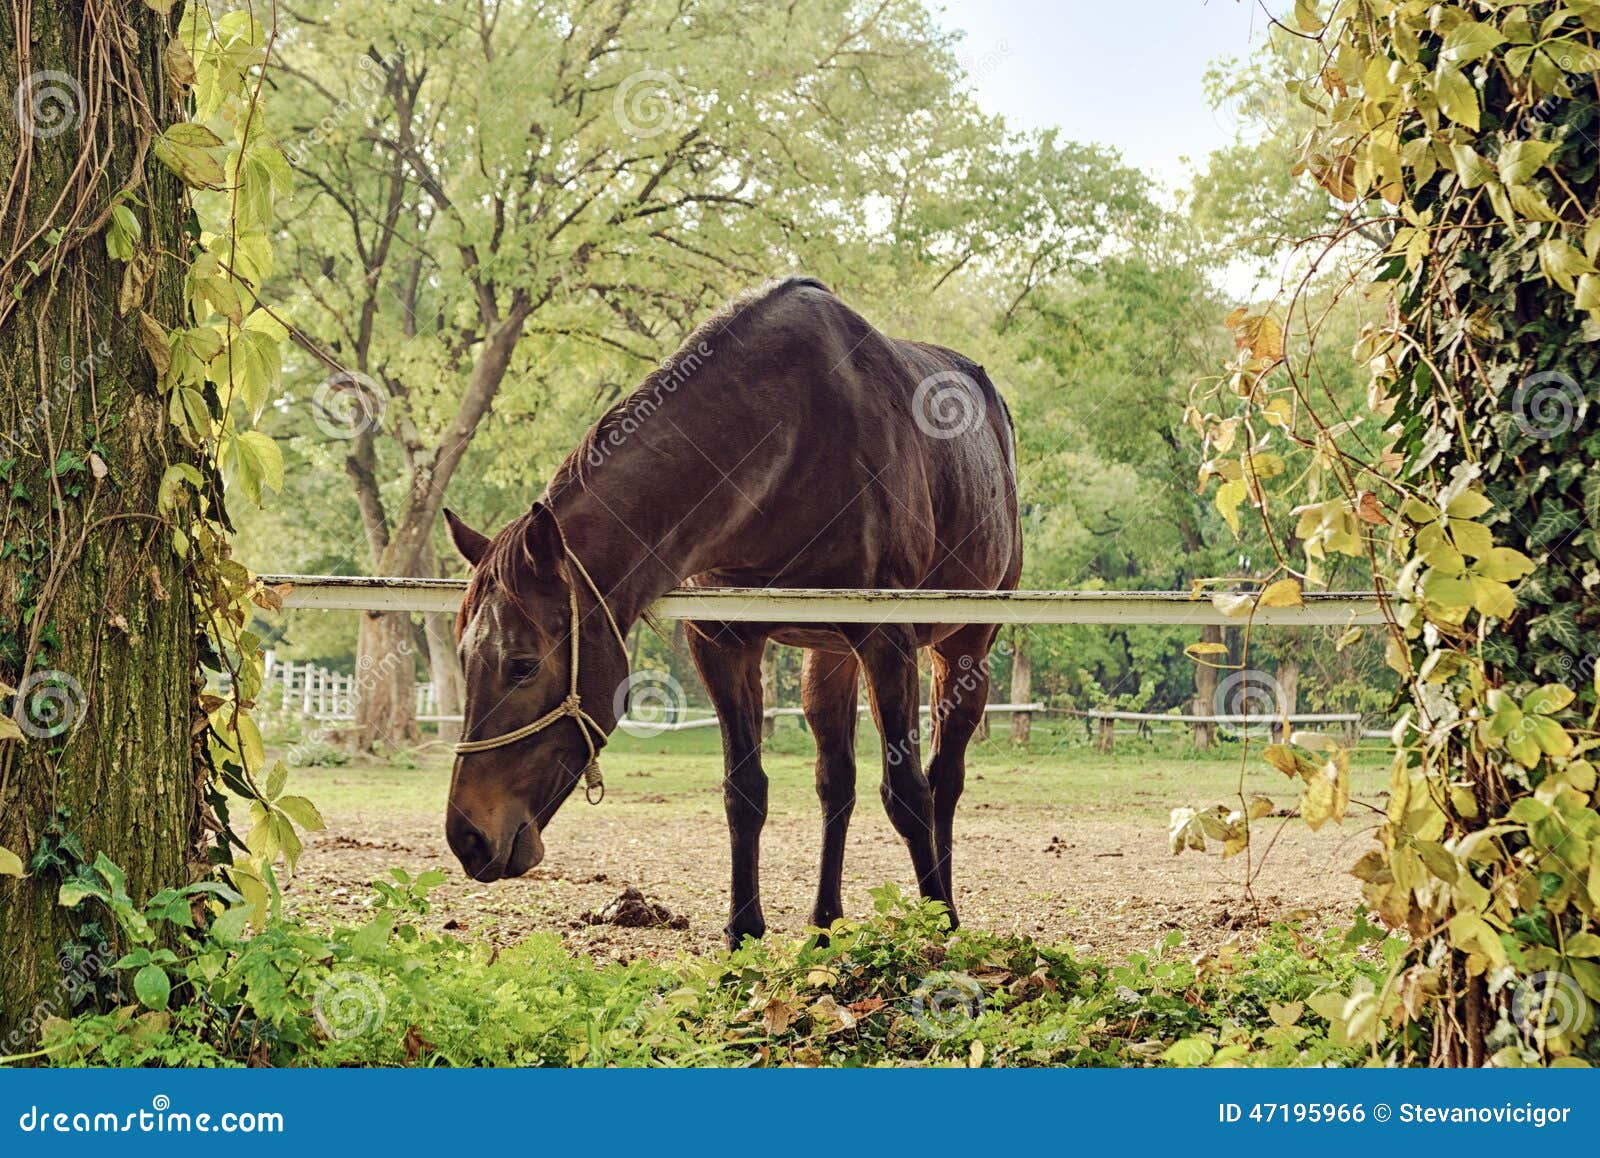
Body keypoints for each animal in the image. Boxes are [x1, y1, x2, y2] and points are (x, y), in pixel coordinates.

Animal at [441, 276, 1011, 946]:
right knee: (835, 783)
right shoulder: (722, 639)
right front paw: (744, 932)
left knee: (943, 780)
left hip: (964, 645)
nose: (467, 837)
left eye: (524, 664)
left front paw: (937, 930)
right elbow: (745, 790)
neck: (795, 433)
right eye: (464, 659)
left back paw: (945, 911)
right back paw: (825, 921)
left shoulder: (886, 641)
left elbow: (907, 792)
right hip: (828, 656)